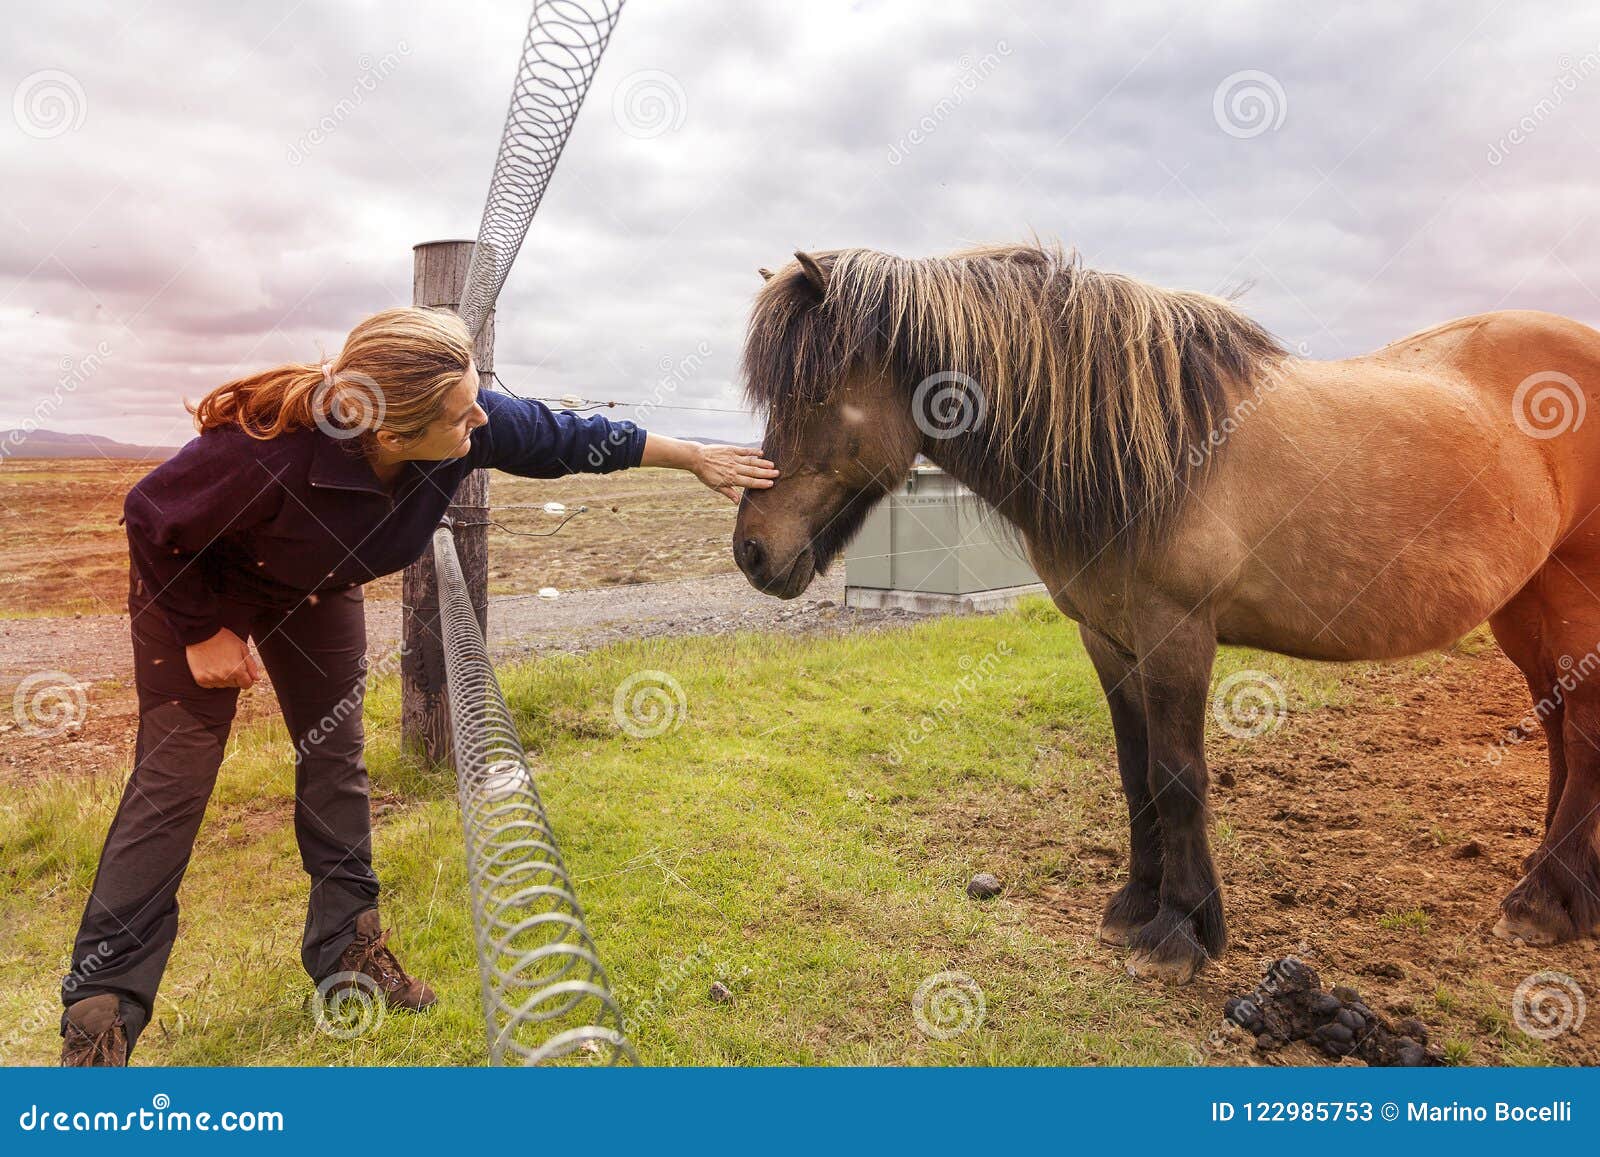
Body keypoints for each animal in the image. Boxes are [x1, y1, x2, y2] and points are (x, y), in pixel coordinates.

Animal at [732, 244, 1600, 985]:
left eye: (815, 391)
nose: (752, 551)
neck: (1144, 444)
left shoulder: (1176, 632)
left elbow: (1179, 775)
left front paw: (1180, 932)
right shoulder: (1108, 637)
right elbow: (1134, 770)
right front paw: (1134, 907)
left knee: (1584, 733)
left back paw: (1539, 903)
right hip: (1526, 607)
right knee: (1558, 727)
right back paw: (1560, 888)